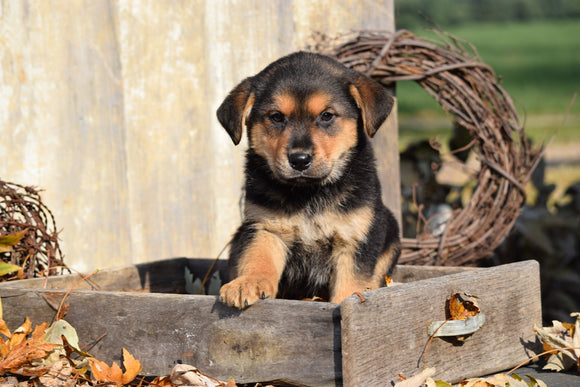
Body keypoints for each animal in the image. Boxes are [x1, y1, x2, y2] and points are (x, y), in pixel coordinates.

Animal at [215, 53, 402, 310]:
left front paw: (344, 303)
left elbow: (350, 283)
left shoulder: (355, 238)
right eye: (276, 117)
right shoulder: (264, 227)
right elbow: (257, 257)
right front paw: (247, 283)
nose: (299, 160)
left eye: (327, 116)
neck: (308, 192)